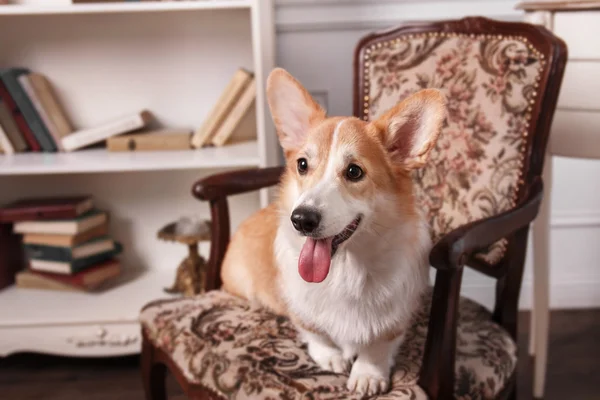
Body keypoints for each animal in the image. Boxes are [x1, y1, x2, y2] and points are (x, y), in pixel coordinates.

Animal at [220, 67, 446, 396]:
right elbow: (314, 330)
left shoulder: (398, 315)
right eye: (302, 164)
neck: (345, 270)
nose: (301, 219)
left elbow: (379, 343)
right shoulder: (297, 306)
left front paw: (368, 372)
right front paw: (331, 355)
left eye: (354, 171)